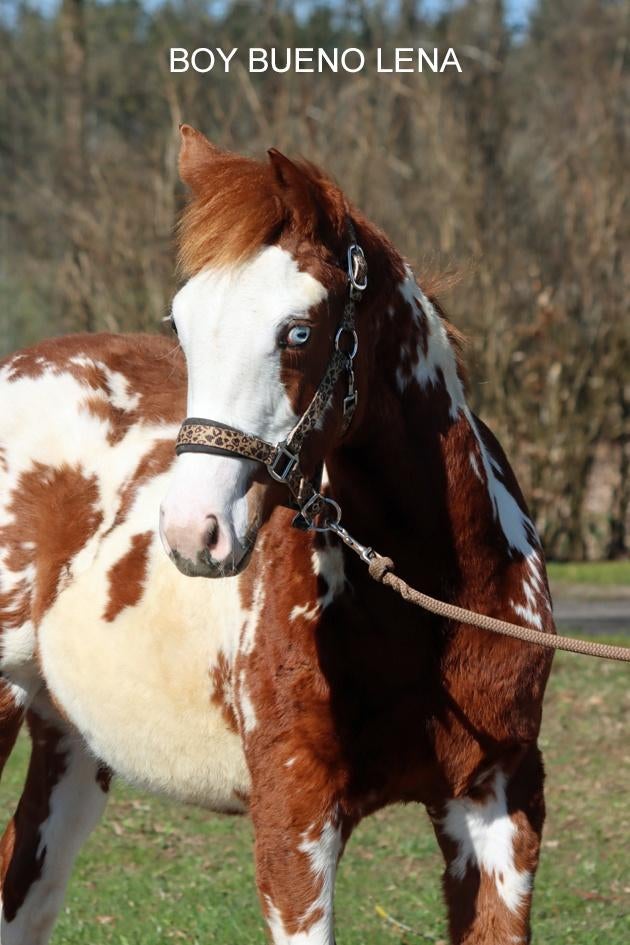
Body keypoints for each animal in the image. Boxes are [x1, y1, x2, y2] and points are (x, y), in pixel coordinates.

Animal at [0, 125, 555, 944]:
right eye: (180, 324)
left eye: (298, 331)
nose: (192, 531)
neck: (428, 605)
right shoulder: (296, 817)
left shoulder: (500, 806)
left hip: (66, 736)